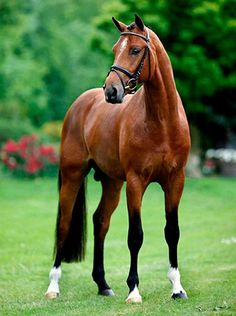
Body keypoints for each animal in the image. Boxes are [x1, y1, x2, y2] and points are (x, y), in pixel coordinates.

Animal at [45, 15, 191, 304]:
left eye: (135, 50)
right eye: (115, 49)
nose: (111, 91)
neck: (162, 122)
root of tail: (81, 103)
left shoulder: (175, 182)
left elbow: (172, 232)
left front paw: (177, 288)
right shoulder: (136, 183)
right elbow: (135, 235)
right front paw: (134, 290)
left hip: (112, 183)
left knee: (100, 221)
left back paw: (103, 284)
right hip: (72, 176)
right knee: (64, 225)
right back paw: (53, 287)